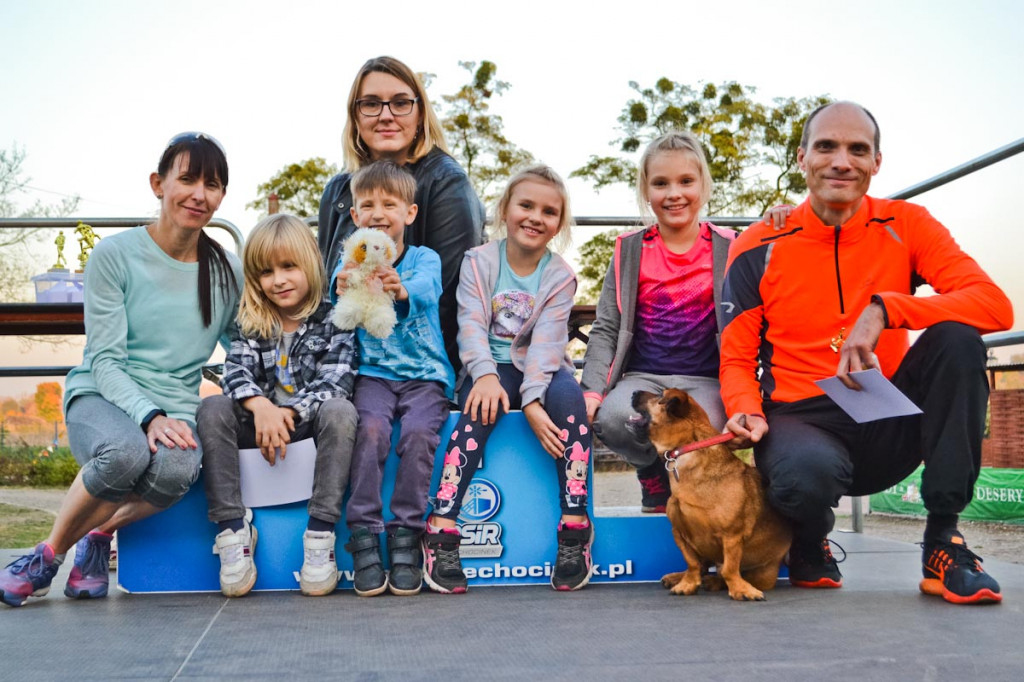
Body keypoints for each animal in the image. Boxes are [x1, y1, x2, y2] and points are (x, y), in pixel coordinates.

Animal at [622, 387, 790, 602]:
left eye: (660, 396)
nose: (634, 392)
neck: (688, 450)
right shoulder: (679, 533)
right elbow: (693, 564)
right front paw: (687, 583)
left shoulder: (732, 537)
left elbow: (729, 569)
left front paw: (740, 589)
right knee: (702, 566)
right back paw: (678, 577)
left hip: (762, 572)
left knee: (725, 572)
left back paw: (716, 581)